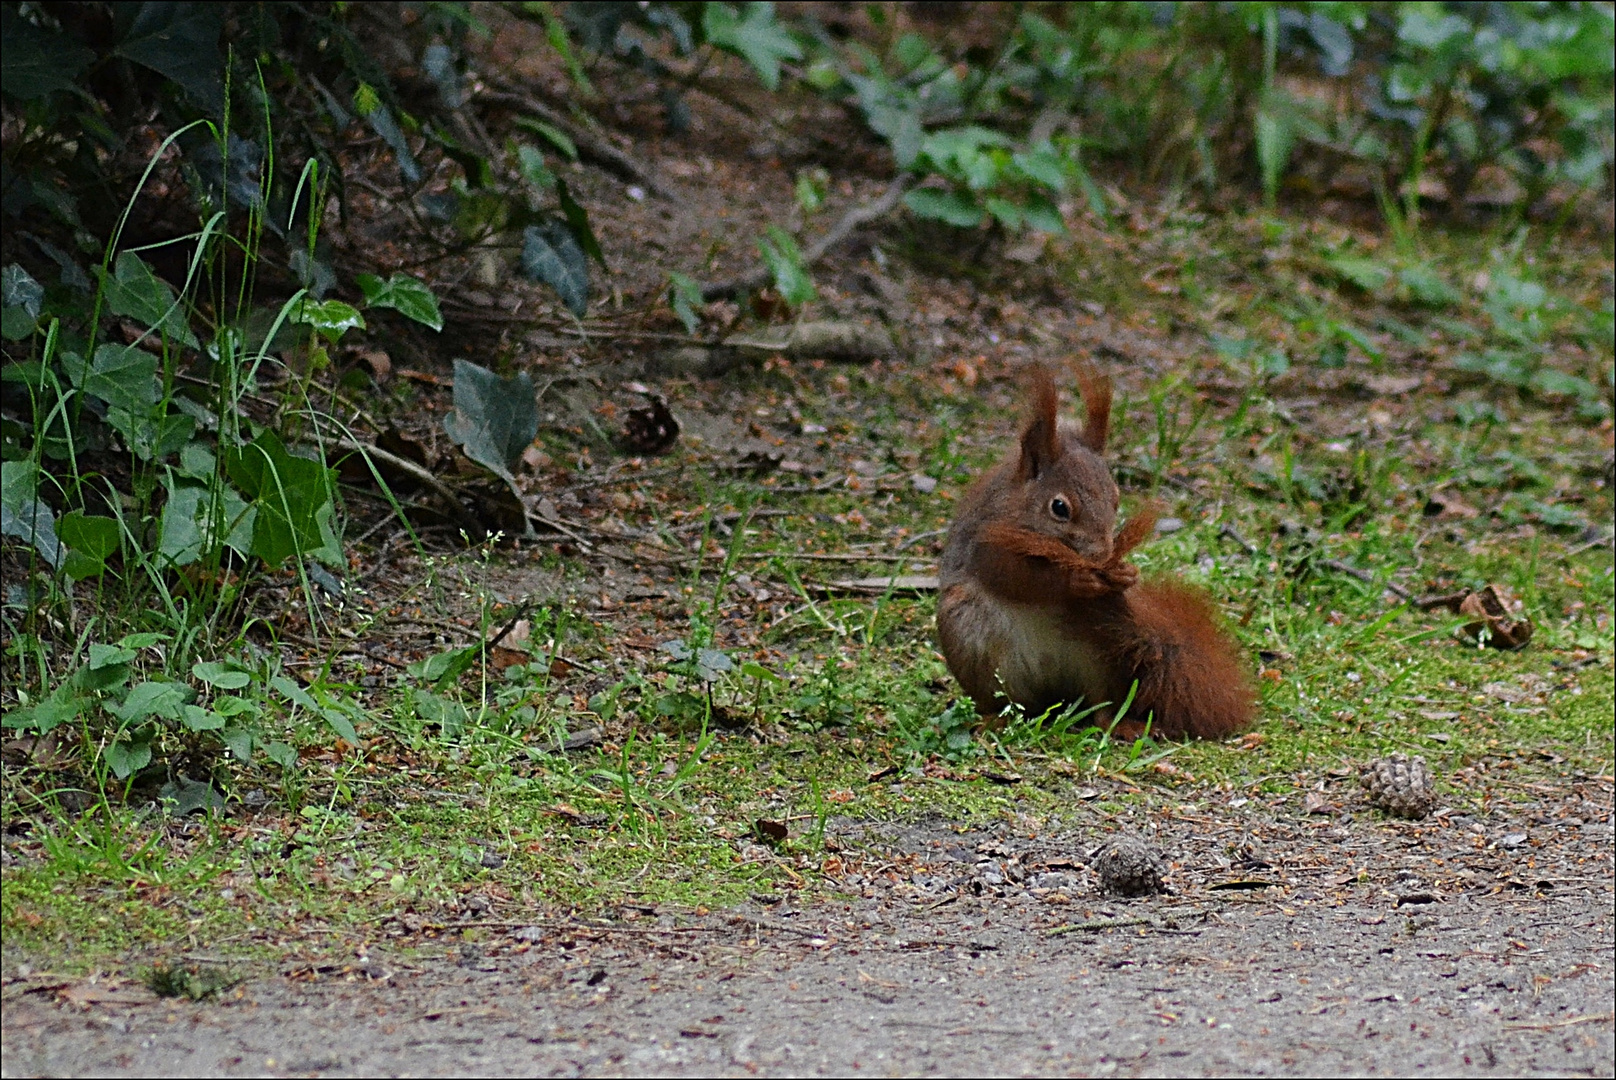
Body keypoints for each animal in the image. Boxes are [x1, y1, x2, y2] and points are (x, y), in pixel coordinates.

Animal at [937, 367, 1260, 737]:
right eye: (1059, 508)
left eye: (1116, 498)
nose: (1102, 555)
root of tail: (1054, 698)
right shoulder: (986, 541)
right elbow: (1016, 577)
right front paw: (1076, 581)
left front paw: (1126, 574)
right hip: (974, 648)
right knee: (1007, 702)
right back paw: (995, 718)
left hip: (1105, 661)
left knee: (1102, 706)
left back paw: (1125, 725)